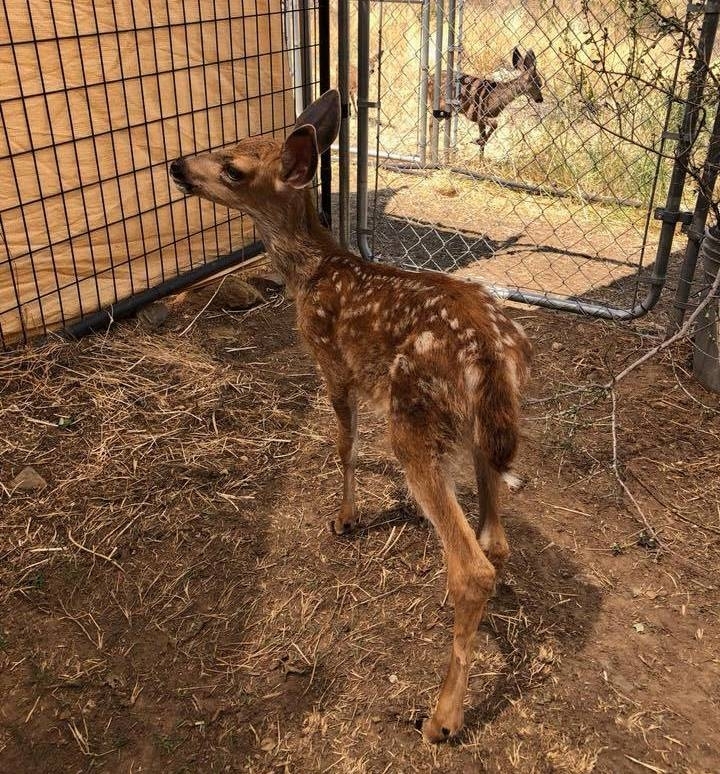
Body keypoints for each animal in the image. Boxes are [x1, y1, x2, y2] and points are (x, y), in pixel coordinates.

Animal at [167, 91, 528, 744]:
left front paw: (346, 518)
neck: (312, 274)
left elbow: (344, 444)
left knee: (473, 566)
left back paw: (441, 718)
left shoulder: (332, 363)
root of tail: (495, 350)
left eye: (233, 168)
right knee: (495, 539)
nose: (178, 165)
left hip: (413, 415)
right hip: (482, 430)